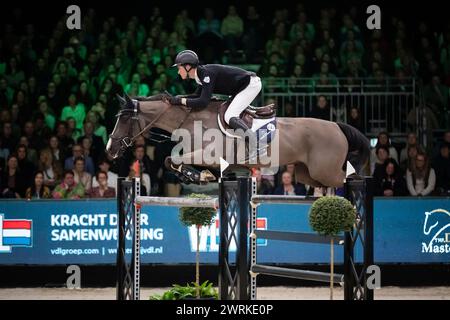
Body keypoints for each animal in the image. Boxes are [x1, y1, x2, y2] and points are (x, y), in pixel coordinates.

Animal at [106, 93, 370, 188]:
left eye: (124, 120)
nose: (110, 149)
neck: (191, 120)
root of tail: (337, 126)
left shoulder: (210, 156)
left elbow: (172, 159)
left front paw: (201, 176)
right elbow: (172, 162)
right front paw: (197, 176)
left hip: (324, 170)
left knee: (349, 177)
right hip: (308, 174)